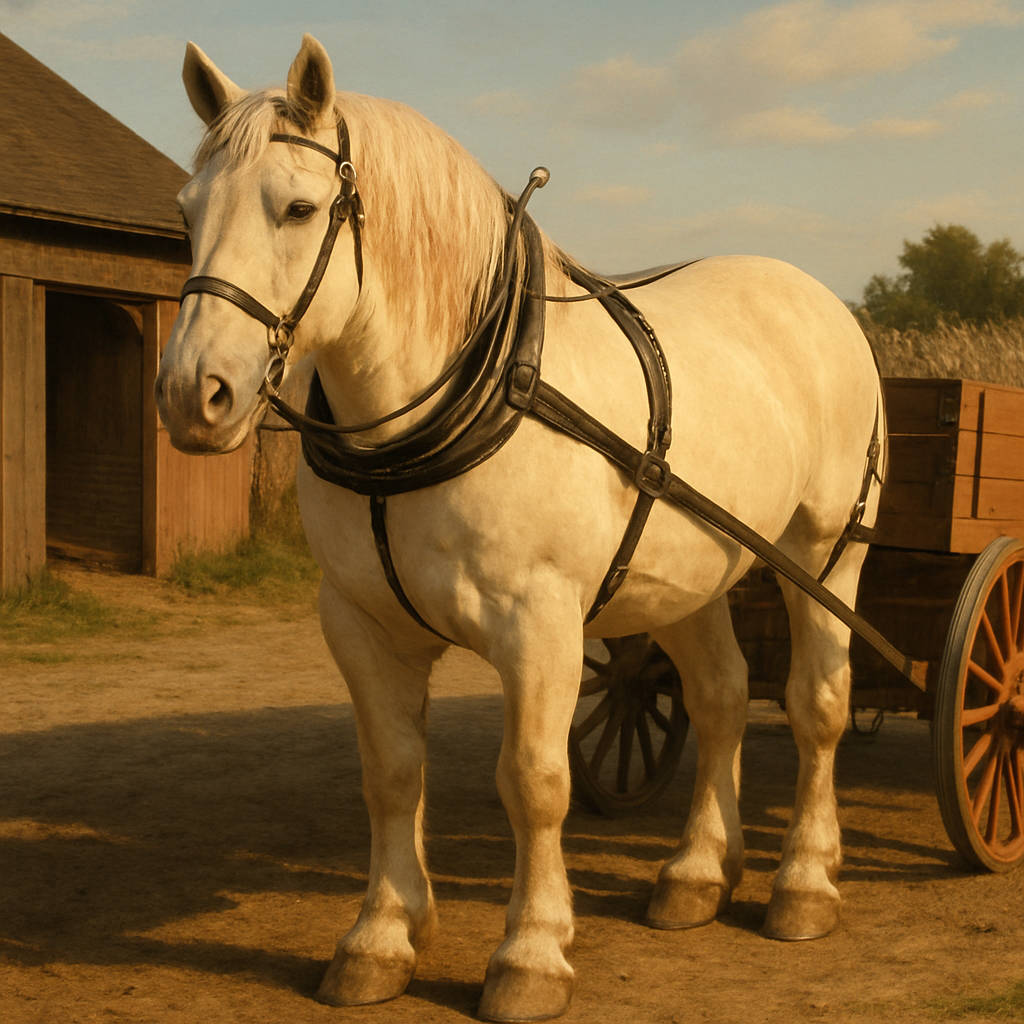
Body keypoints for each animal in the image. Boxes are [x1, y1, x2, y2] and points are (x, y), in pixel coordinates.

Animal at [155, 34, 885, 1023]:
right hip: (694, 570)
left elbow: (535, 783)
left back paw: (805, 881)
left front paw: (531, 955)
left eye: (299, 208)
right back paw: (698, 872)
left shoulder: (538, 626)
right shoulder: (361, 624)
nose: (194, 395)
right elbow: (392, 772)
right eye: (188, 210)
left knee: (817, 705)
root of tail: (818, 298)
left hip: (824, 553)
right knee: (722, 698)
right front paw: (380, 938)